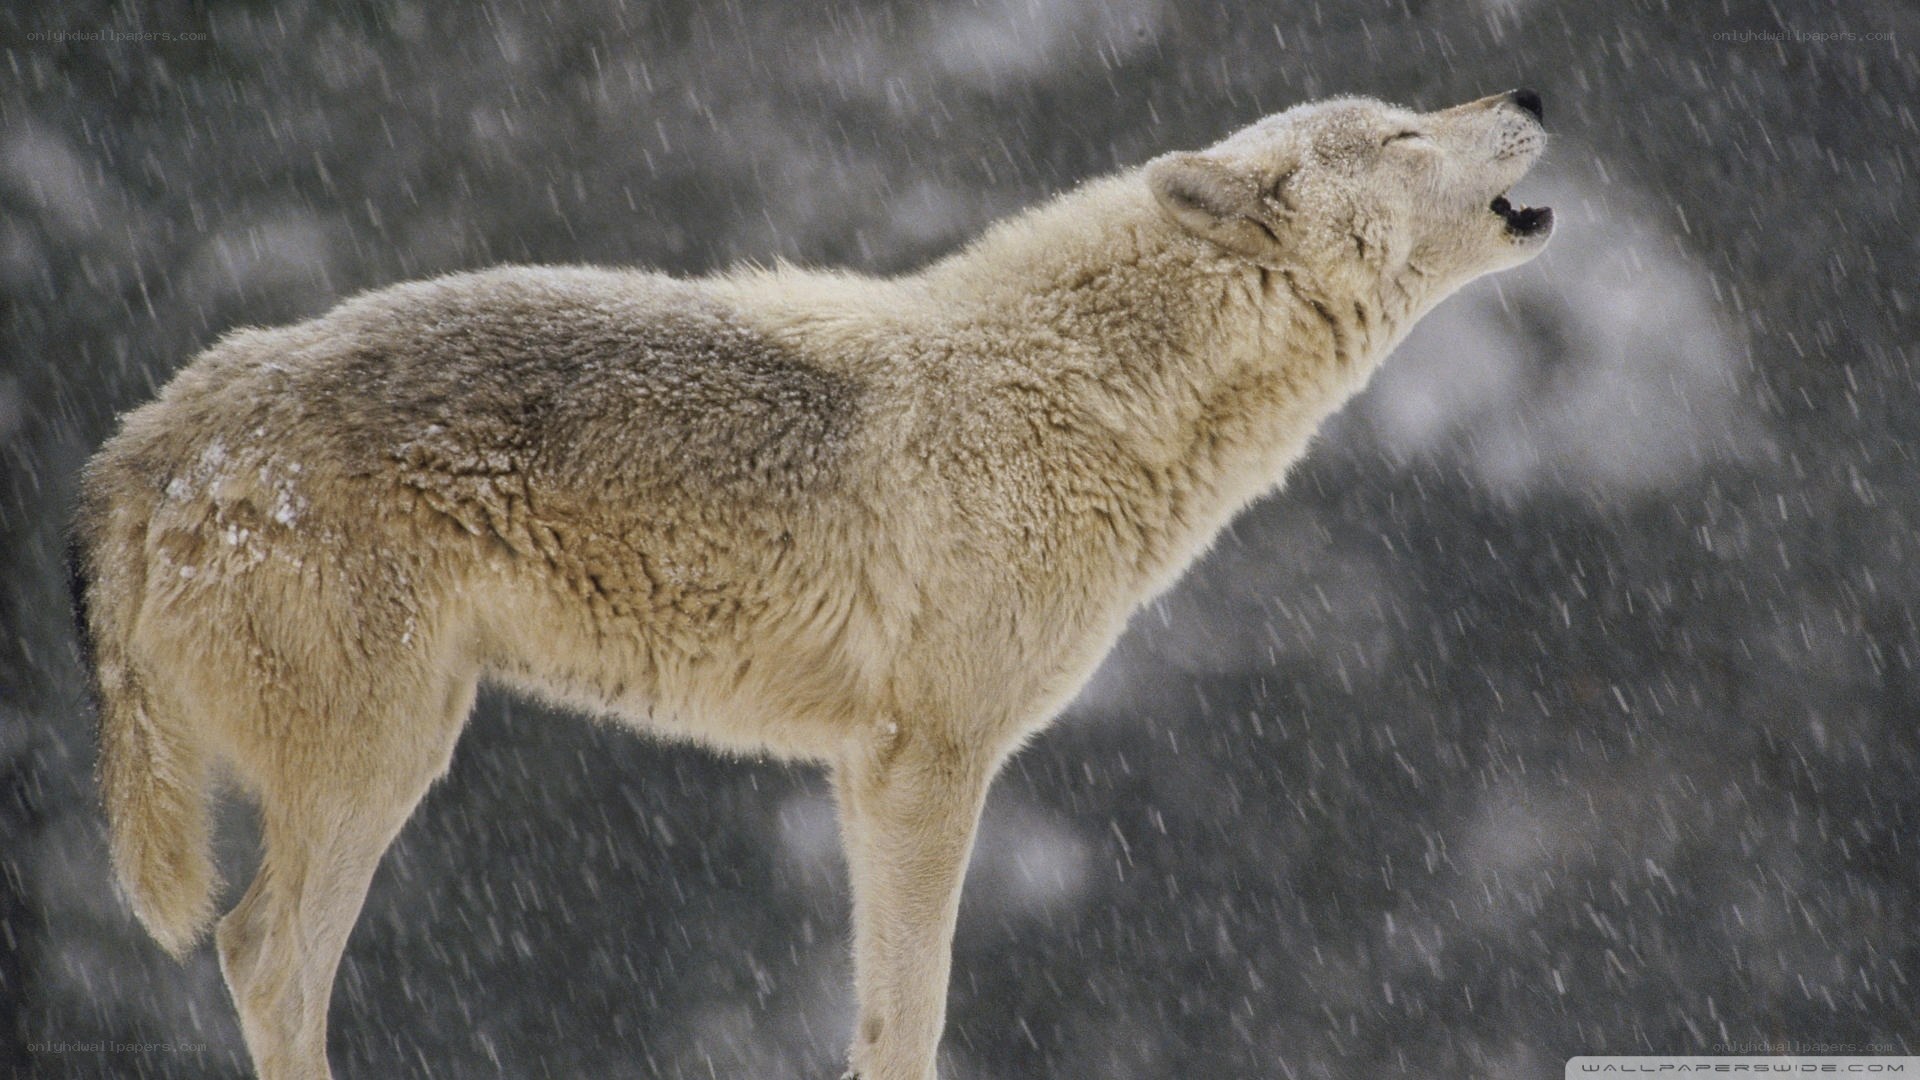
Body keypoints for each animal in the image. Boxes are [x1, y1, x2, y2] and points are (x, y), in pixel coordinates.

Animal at [71, 90, 1553, 1079]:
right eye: (1405, 133)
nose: (1530, 94)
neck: (1076, 394)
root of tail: (158, 431)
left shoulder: (864, 771)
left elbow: (879, 1019)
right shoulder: (932, 764)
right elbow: (918, 1018)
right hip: (380, 764)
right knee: (265, 960)